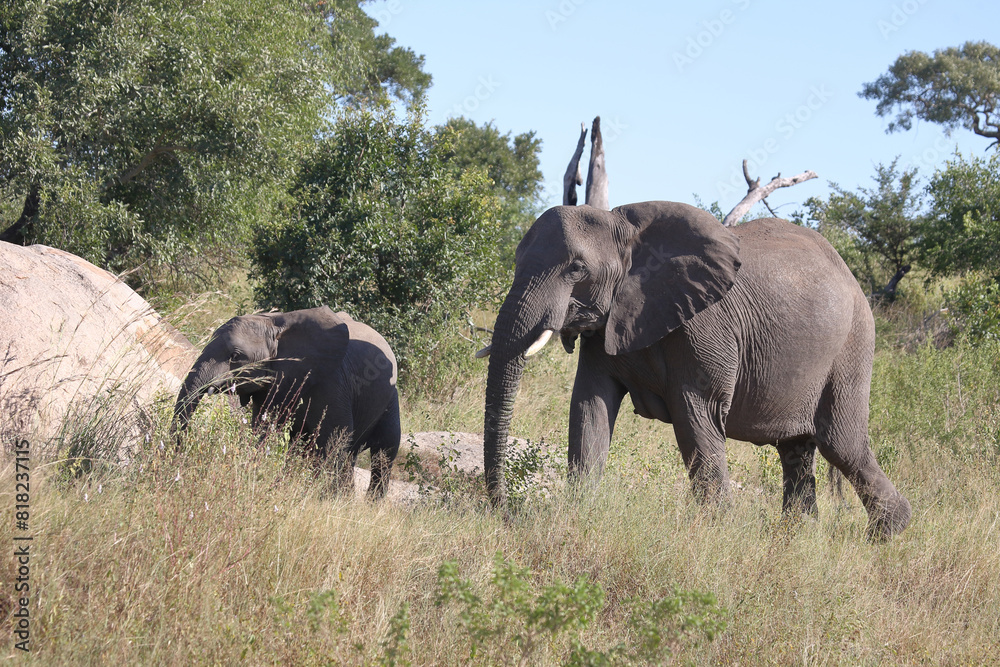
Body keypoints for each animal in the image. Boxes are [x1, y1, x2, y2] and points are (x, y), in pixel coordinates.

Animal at [172, 306, 400, 499]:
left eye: (235, 356)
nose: (177, 461)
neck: (273, 322)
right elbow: (263, 431)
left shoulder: (332, 383)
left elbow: (334, 440)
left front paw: (323, 499)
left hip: (391, 399)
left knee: (384, 453)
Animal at [478, 201, 911, 539]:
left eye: (576, 269)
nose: (505, 513)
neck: (626, 228)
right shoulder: (607, 324)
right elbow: (589, 407)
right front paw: (578, 514)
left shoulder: (703, 325)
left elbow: (696, 417)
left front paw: (716, 534)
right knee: (797, 449)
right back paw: (798, 537)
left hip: (853, 344)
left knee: (841, 443)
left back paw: (886, 534)